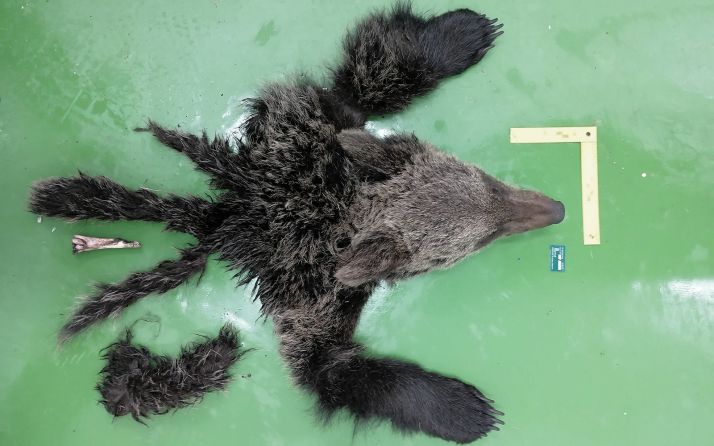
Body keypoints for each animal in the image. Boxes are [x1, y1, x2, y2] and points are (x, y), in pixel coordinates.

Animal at [29, 2, 565, 443]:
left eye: (484, 178)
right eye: (478, 241)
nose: (557, 209)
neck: (338, 210)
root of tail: (221, 219)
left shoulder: (316, 129)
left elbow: (367, 82)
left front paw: (459, 34)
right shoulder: (311, 298)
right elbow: (334, 370)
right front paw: (458, 409)